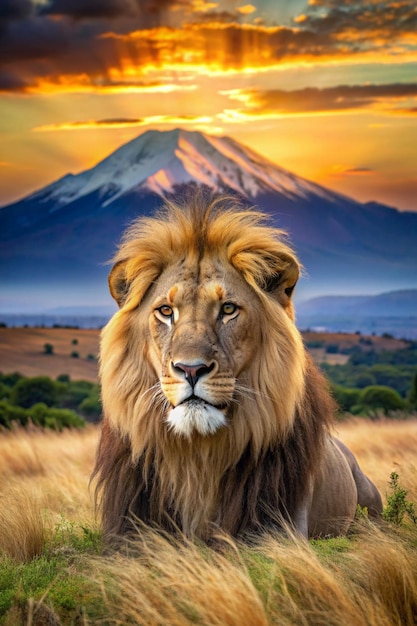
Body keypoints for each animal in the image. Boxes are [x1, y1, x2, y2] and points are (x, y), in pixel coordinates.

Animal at [92, 193, 382, 540]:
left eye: (228, 309)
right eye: (165, 311)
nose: (191, 370)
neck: (198, 459)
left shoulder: (279, 529)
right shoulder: (128, 530)